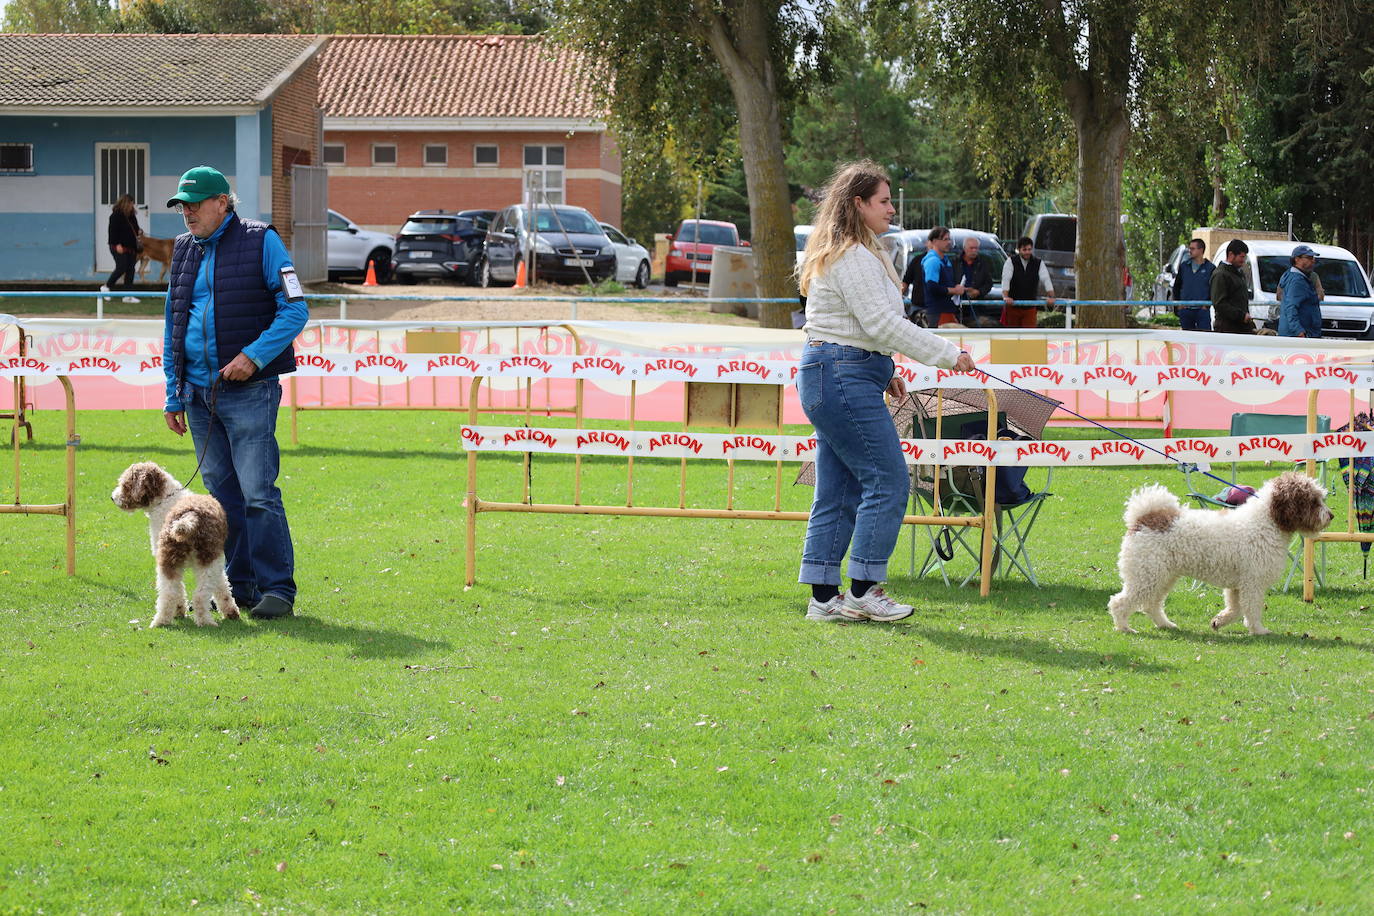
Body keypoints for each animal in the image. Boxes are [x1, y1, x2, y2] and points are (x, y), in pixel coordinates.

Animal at [110, 461, 239, 626]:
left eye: (125, 484)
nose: (113, 497)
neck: (165, 499)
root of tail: (189, 515)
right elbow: (222, 586)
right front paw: (230, 612)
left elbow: (220, 586)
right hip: (204, 560)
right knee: (194, 594)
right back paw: (200, 621)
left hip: (176, 560)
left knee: (173, 593)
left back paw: (163, 621)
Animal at [1110, 472, 1335, 637]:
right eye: (1313, 500)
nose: (1331, 515)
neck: (1267, 522)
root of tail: (1143, 518)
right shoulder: (1252, 582)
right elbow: (1252, 608)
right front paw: (1258, 630)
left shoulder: (1237, 585)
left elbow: (1236, 610)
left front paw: (1218, 621)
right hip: (1147, 575)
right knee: (1119, 602)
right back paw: (1124, 627)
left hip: (1162, 576)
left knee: (1151, 604)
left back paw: (1165, 624)